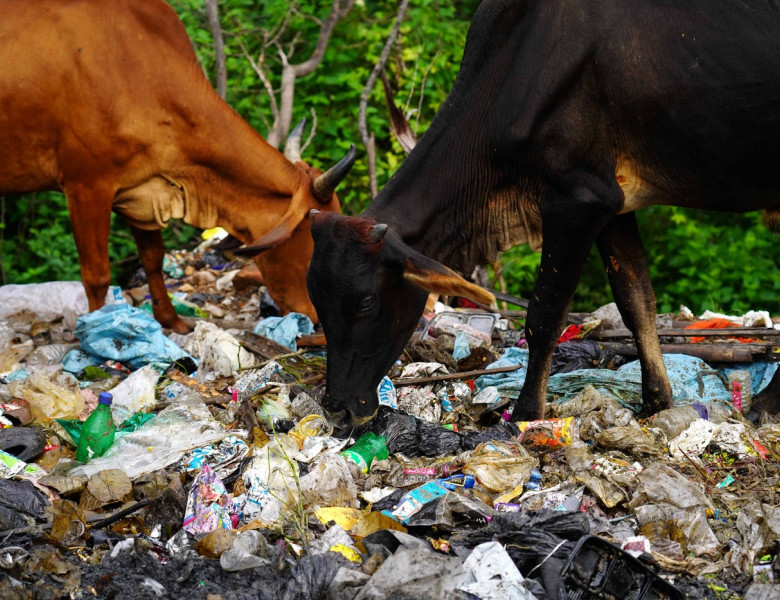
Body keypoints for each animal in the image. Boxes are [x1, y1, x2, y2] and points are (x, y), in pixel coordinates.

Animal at [0, 0, 354, 332]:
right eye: (314, 241)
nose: (317, 320)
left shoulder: (142, 191)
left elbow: (153, 260)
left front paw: (171, 321)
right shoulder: (86, 185)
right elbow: (97, 275)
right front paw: (95, 335)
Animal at [308, 0, 780, 426]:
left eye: (366, 302)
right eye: (315, 297)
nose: (337, 407)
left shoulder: (577, 200)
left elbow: (544, 316)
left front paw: (525, 413)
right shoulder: (613, 204)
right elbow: (637, 302)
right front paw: (655, 402)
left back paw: (766, 404)